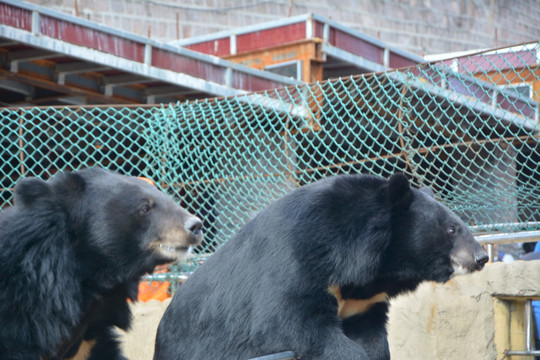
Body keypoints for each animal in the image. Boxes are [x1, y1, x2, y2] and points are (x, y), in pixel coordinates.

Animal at [154, 173, 488, 358]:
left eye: (460, 224)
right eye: (452, 229)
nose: (481, 257)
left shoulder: (363, 303)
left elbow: (372, 338)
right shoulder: (296, 259)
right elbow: (288, 323)